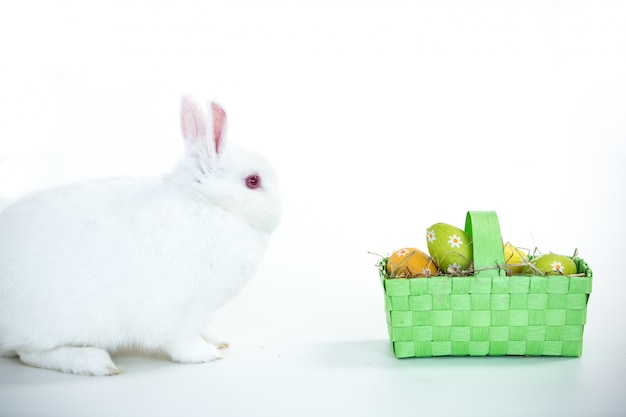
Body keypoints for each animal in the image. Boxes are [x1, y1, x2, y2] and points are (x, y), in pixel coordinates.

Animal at [0, 96, 280, 376]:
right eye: (253, 181)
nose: (279, 210)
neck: (207, 203)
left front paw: (217, 339)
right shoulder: (176, 312)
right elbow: (181, 341)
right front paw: (205, 354)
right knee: (30, 353)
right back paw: (97, 362)